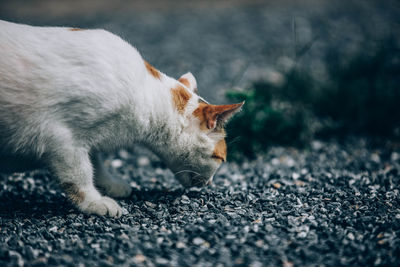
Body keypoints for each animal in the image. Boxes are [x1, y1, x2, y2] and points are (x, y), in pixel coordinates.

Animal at [0, 20, 244, 218]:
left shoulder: (88, 140)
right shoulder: (62, 138)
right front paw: (94, 202)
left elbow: (95, 161)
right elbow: (80, 173)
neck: (146, 94)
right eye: (220, 159)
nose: (210, 183)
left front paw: (109, 185)